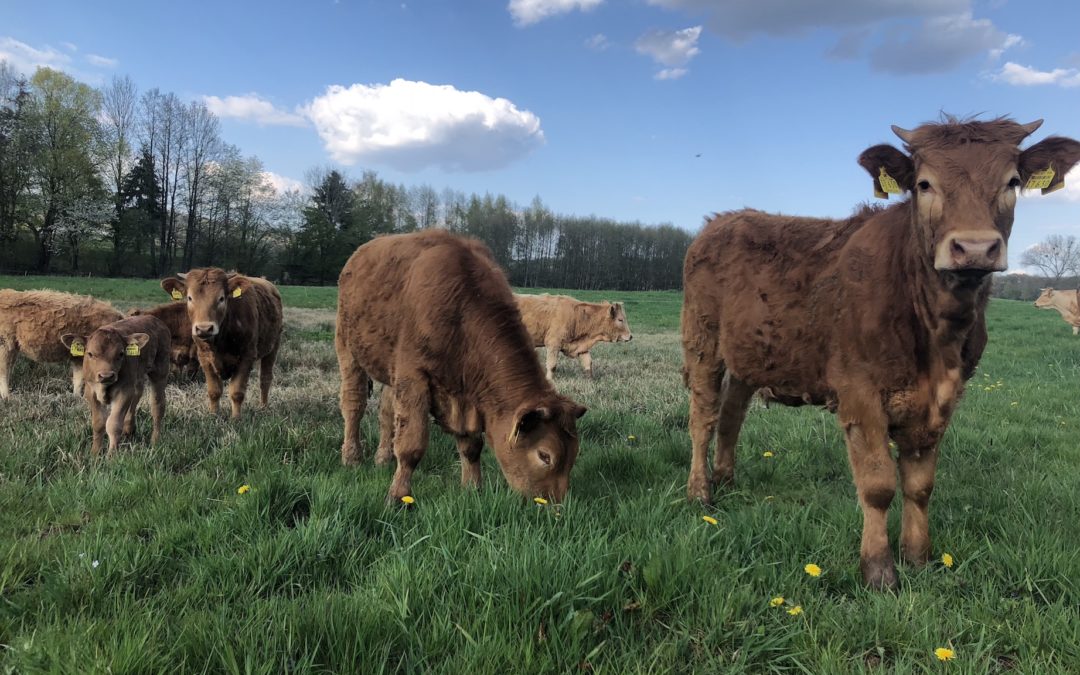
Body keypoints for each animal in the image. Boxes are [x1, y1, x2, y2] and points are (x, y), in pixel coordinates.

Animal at [61, 313, 169, 455]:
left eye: (121, 353)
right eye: (90, 353)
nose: (106, 375)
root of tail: (153, 319)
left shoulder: (124, 391)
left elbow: (113, 424)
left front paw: (111, 455)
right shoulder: (91, 391)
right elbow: (98, 423)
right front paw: (95, 453)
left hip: (160, 372)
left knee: (157, 406)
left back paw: (155, 442)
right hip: (138, 376)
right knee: (137, 395)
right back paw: (129, 430)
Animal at [157, 266, 282, 416]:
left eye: (221, 298)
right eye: (190, 298)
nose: (204, 329)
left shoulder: (247, 357)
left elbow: (237, 392)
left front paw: (236, 418)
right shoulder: (204, 358)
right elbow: (214, 391)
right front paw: (213, 415)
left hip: (273, 347)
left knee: (265, 378)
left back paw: (263, 407)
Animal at [336, 231, 587, 501]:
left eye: (574, 454)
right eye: (544, 455)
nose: (554, 503)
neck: (463, 312)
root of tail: (359, 254)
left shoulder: (466, 395)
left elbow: (471, 446)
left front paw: (472, 489)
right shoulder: (413, 377)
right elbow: (411, 445)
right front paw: (398, 497)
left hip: (390, 370)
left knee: (386, 412)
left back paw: (382, 458)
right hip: (347, 349)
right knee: (353, 404)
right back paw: (352, 457)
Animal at [682, 118, 1080, 587]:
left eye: (1013, 182)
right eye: (924, 184)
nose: (975, 248)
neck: (935, 338)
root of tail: (723, 219)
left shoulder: (942, 400)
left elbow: (920, 485)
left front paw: (918, 558)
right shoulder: (858, 391)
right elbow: (878, 485)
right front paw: (878, 570)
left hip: (750, 355)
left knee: (731, 416)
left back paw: (726, 481)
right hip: (701, 341)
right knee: (703, 418)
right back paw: (700, 493)